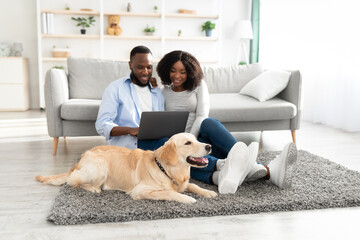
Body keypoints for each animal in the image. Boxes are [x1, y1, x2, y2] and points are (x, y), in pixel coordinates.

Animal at [35, 132, 217, 203]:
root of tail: (81, 159)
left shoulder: (184, 183)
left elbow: (193, 185)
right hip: (100, 166)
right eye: (188, 143)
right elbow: (168, 193)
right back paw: (93, 188)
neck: (167, 169)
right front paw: (187, 198)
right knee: (73, 182)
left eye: (196, 139)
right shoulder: (140, 191)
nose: (209, 146)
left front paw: (208, 192)